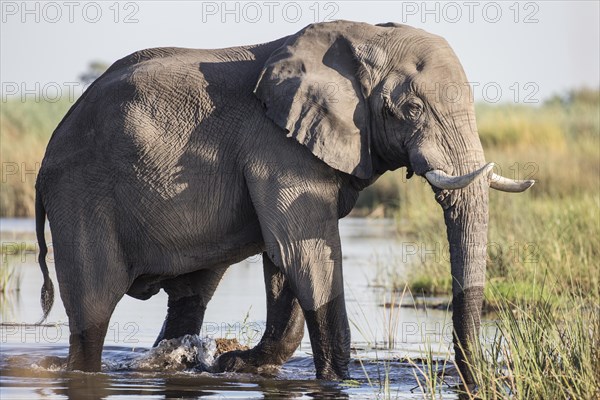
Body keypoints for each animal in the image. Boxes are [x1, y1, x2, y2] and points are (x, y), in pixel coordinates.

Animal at [36, 21, 536, 384]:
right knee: (93, 313)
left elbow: (284, 259)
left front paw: (238, 364)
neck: (364, 35)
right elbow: (305, 254)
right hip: (80, 194)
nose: (469, 381)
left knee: (190, 296)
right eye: (411, 109)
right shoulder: (277, 146)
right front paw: (336, 381)